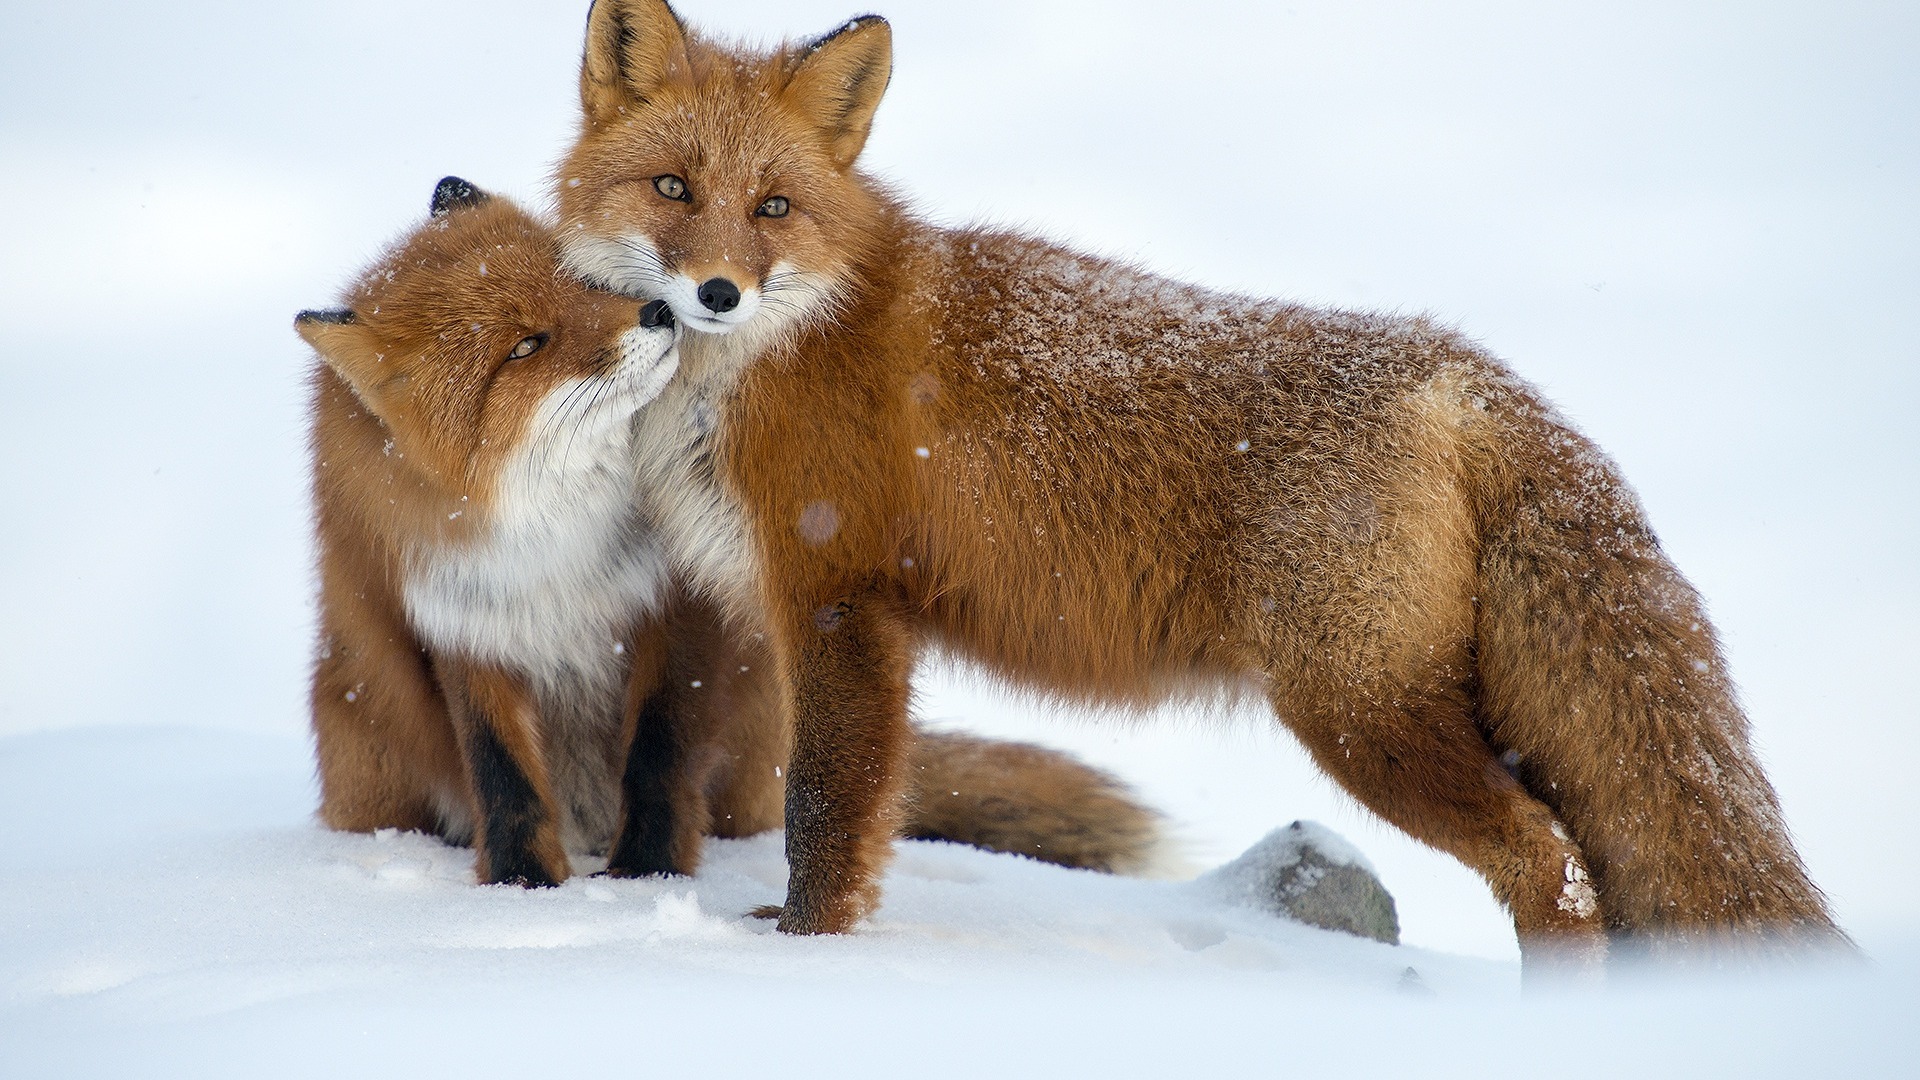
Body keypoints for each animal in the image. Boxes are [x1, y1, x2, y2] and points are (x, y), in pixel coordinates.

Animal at [293, 176, 1159, 883]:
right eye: (526, 346)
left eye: (583, 281)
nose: (657, 311)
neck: (558, 541)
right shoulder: (468, 623)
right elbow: (504, 782)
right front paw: (524, 891)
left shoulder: (678, 605)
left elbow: (661, 754)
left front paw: (647, 877)